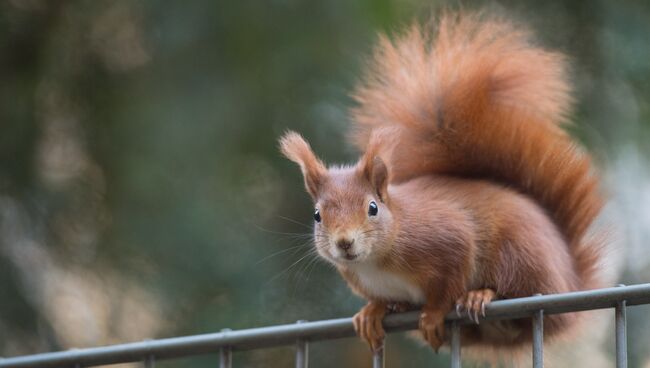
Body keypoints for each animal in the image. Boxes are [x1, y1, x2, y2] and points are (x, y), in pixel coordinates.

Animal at [276, 11, 600, 354]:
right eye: (317, 215)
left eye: (373, 208)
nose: (344, 243)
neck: (375, 260)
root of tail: (570, 279)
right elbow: (382, 300)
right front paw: (373, 311)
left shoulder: (448, 239)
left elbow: (449, 284)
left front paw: (432, 314)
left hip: (520, 255)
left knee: (517, 294)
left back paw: (479, 295)